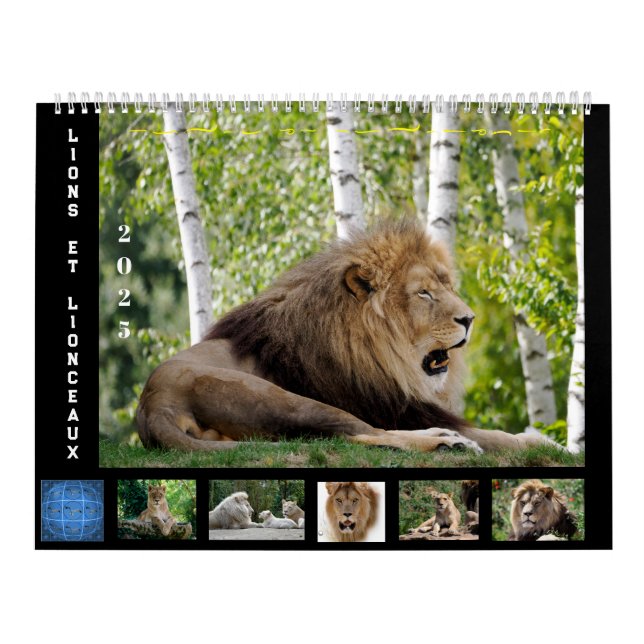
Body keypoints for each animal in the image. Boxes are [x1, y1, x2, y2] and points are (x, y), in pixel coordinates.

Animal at [137, 220, 551, 453]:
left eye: (446, 284)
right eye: (423, 293)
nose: (469, 319)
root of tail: (153, 406)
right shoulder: (385, 404)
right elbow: (498, 437)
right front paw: (542, 441)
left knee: (350, 436)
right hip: (281, 399)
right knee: (362, 433)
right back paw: (447, 441)